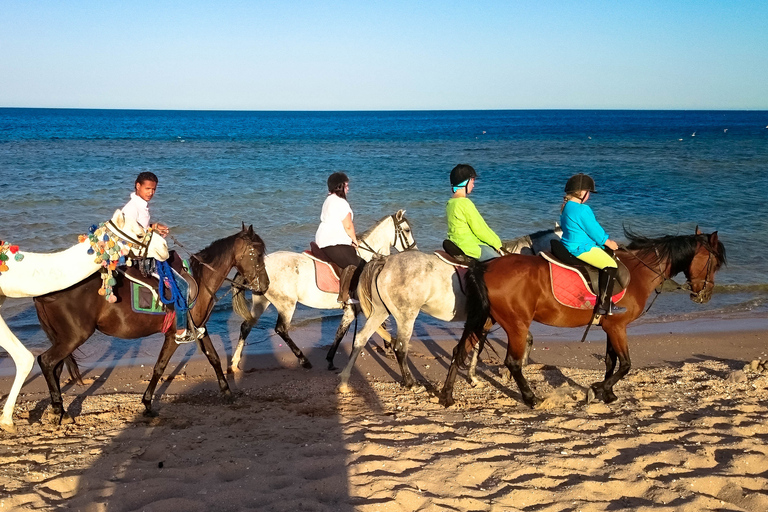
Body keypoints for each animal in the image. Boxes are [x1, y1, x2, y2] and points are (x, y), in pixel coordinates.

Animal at [33, 225, 269, 425]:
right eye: (257, 254)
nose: (265, 285)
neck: (200, 281)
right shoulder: (175, 335)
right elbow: (160, 367)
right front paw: (147, 403)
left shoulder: (200, 329)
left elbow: (214, 358)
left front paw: (227, 392)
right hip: (74, 336)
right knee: (46, 362)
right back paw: (59, 410)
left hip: (65, 338)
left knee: (55, 367)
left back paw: (60, 409)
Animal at [230, 210, 416, 372]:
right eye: (407, 230)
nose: (414, 250)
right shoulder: (358, 307)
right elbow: (355, 328)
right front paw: (389, 348)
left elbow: (345, 331)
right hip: (286, 304)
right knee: (280, 329)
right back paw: (303, 360)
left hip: (262, 301)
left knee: (246, 325)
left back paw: (235, 362)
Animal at [335, 228, 560, 393]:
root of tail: (385, 261)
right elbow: (509, 341)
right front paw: (506, 372)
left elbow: (477, 345)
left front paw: (474, 377)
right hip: (406, 316)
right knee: (400, 348)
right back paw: (411, 383)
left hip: (381, 312)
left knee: (361, 339)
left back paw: (345, 381)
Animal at [441, 227, 726, 408]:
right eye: (714, 263)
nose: (705, 296)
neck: (637, 272)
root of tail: (485, 266)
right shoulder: (619, 327)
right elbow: (625, 364)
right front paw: (598, 390)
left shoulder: (611, 326)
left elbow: (611, 361)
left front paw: (607, 393)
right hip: (516, 325)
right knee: (512, 362)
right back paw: (531, 398)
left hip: (486, 319)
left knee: (459, 350)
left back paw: (446, 396)